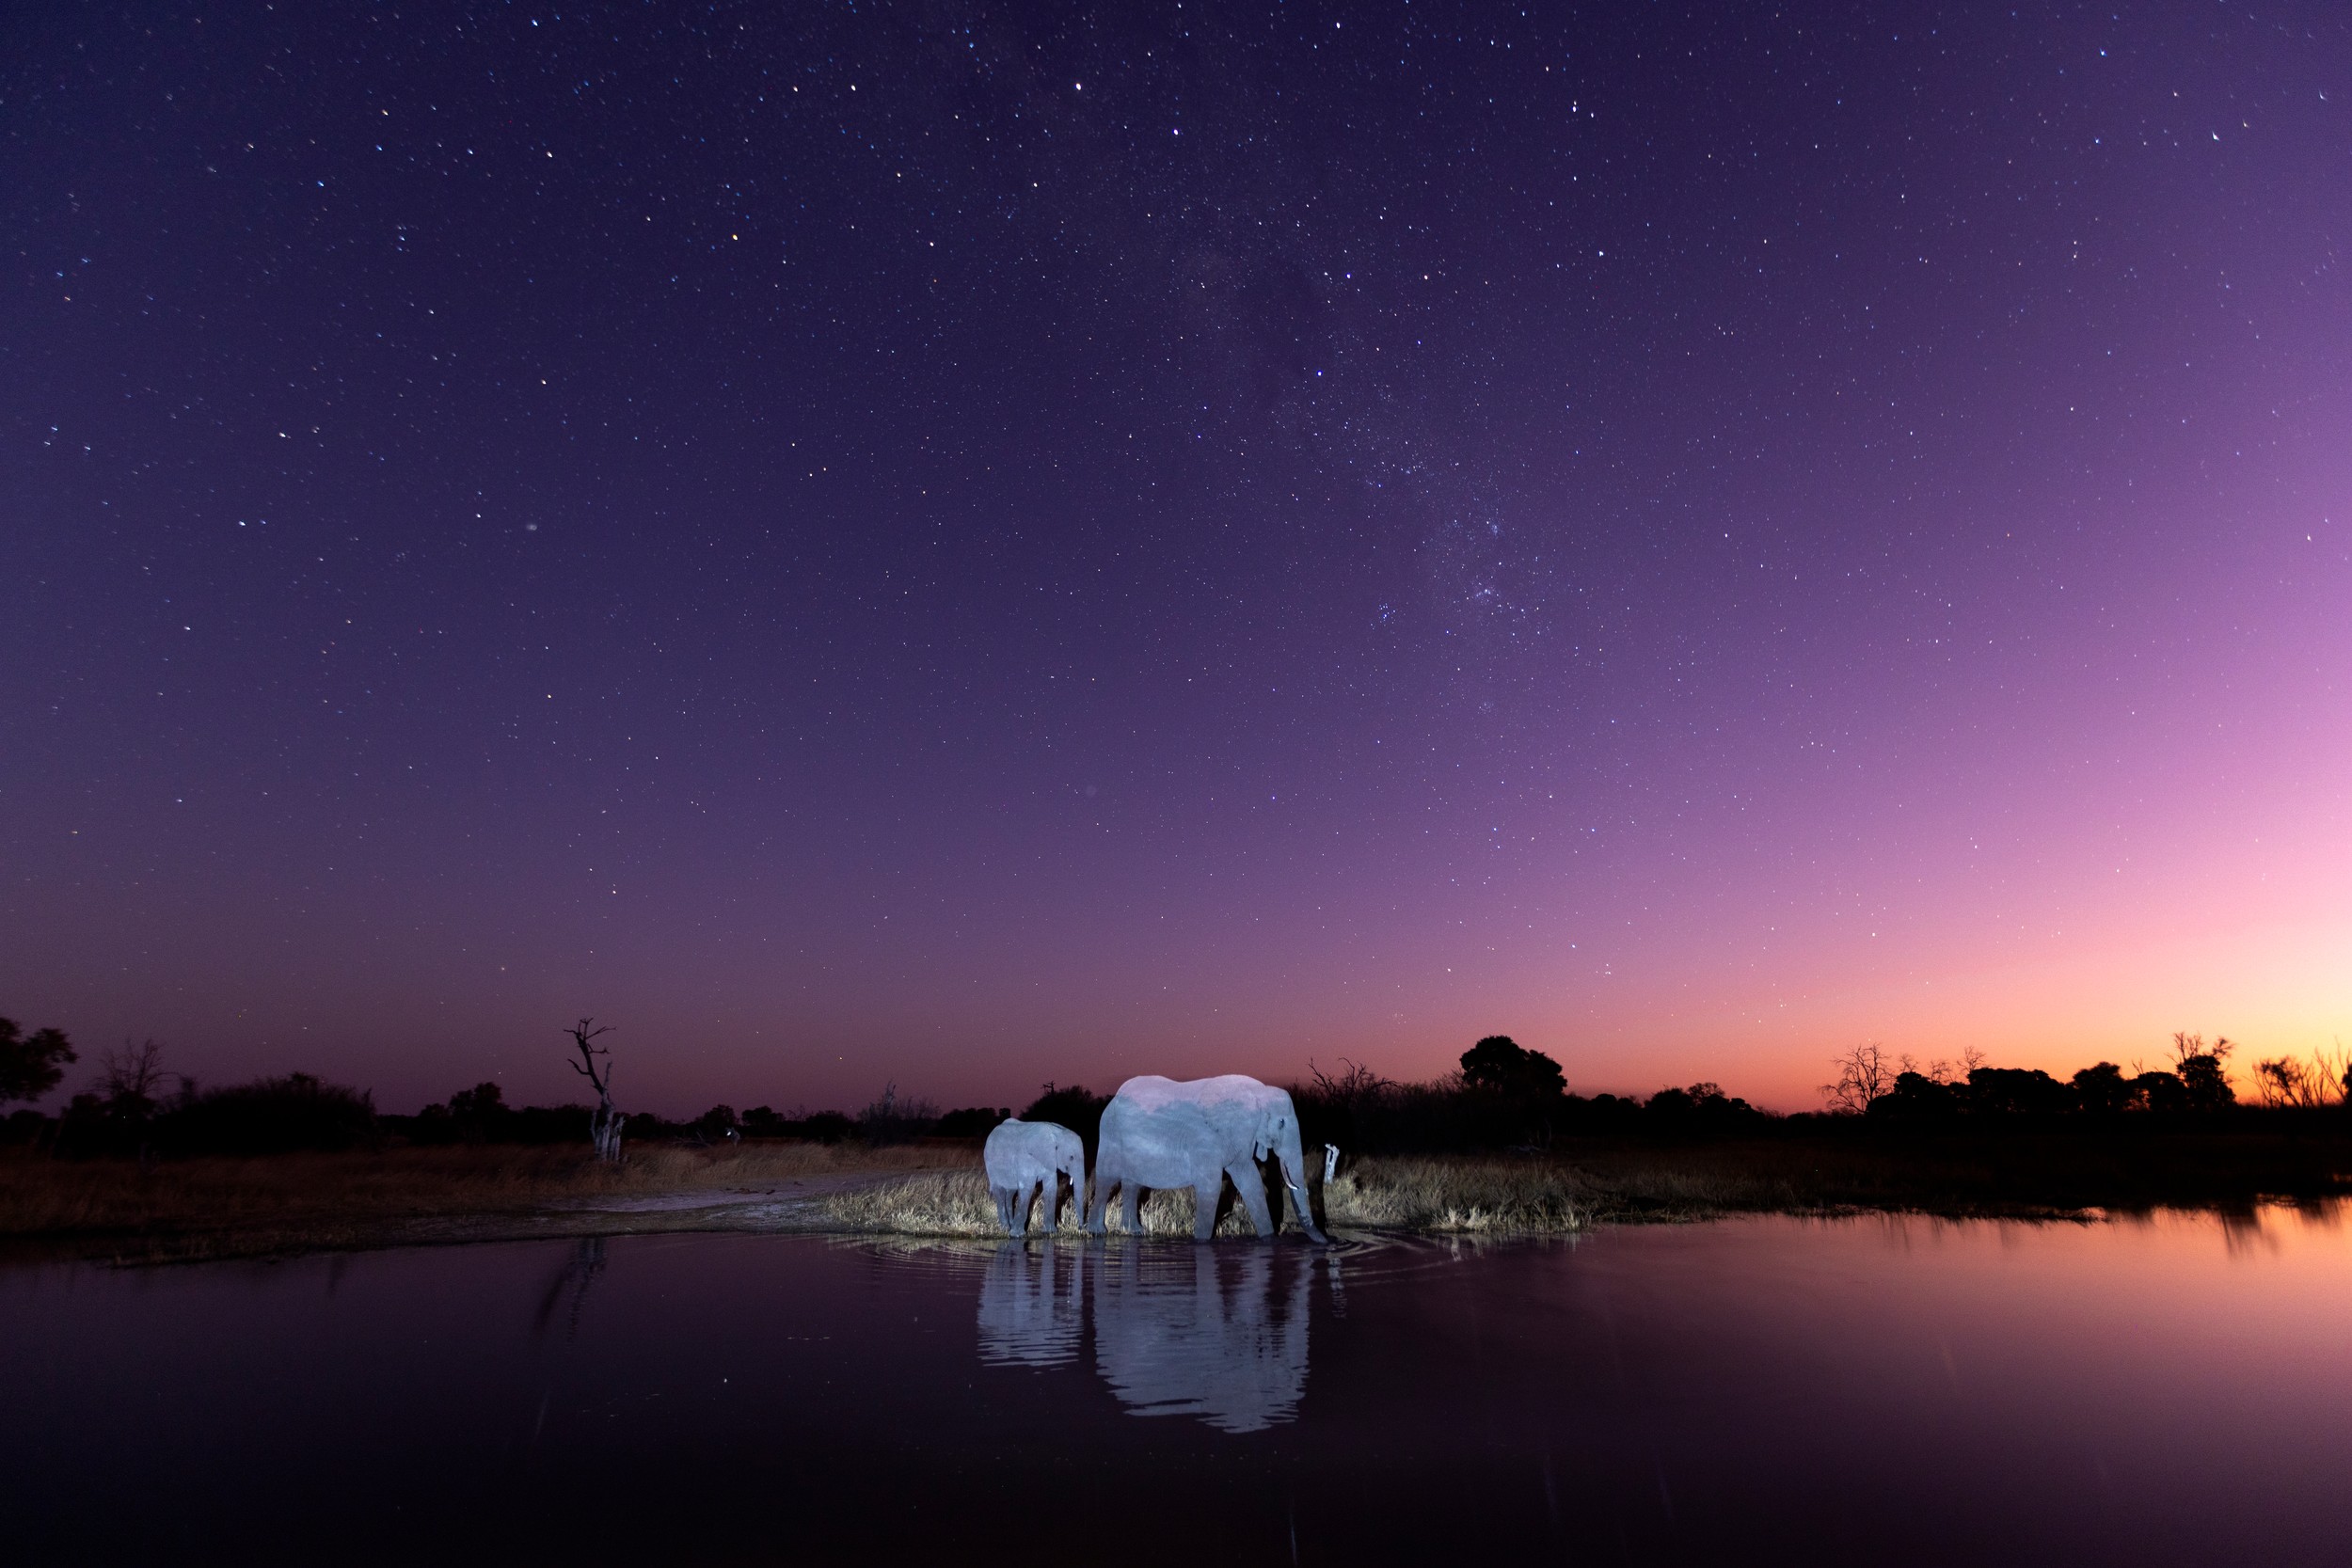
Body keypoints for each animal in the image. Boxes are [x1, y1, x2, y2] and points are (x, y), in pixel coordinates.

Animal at [1086, 1075, 1329, 1243]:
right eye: (1281, 1122)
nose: (1329, 1242)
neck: (1258, 1092)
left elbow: (1250, 1181)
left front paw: (1269, 1239)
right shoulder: (1207, 1140)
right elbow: (1210, 1186)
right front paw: (1202, 1241)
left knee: (1132, 1184)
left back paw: (1136, 1232)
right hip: (1110, 1135)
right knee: (1106, 1180)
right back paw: (1097, 1232)